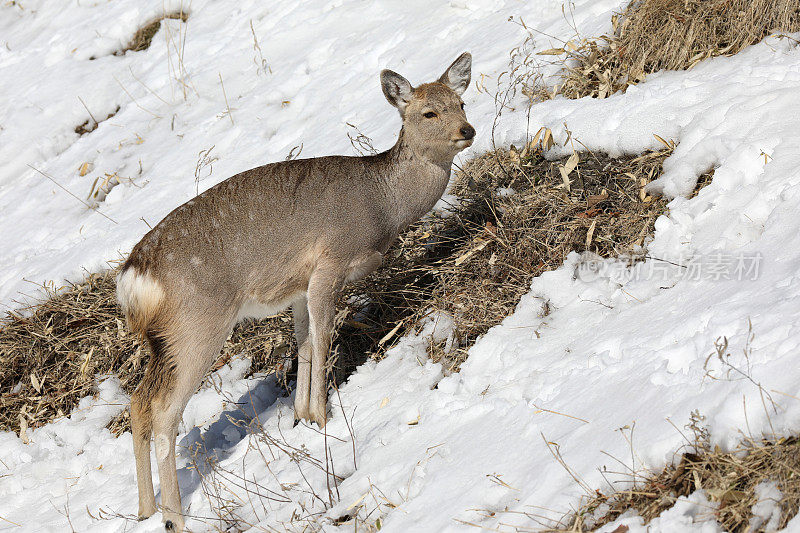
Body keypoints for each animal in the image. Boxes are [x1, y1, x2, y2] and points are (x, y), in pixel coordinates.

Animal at [115, 52, 472, 528]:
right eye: (428, 112)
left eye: (462, 102)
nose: (467, 130)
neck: (383, 204)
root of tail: (136, 277)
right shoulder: (330, 261)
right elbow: (323, 338)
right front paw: (322, 417)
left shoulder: (299, 287)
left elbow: (303, 342)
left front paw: (302, 414)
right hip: (197, 323)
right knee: (163, 411)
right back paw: (175, 516)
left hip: (161, 338)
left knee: (138, 402)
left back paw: (145, 511)